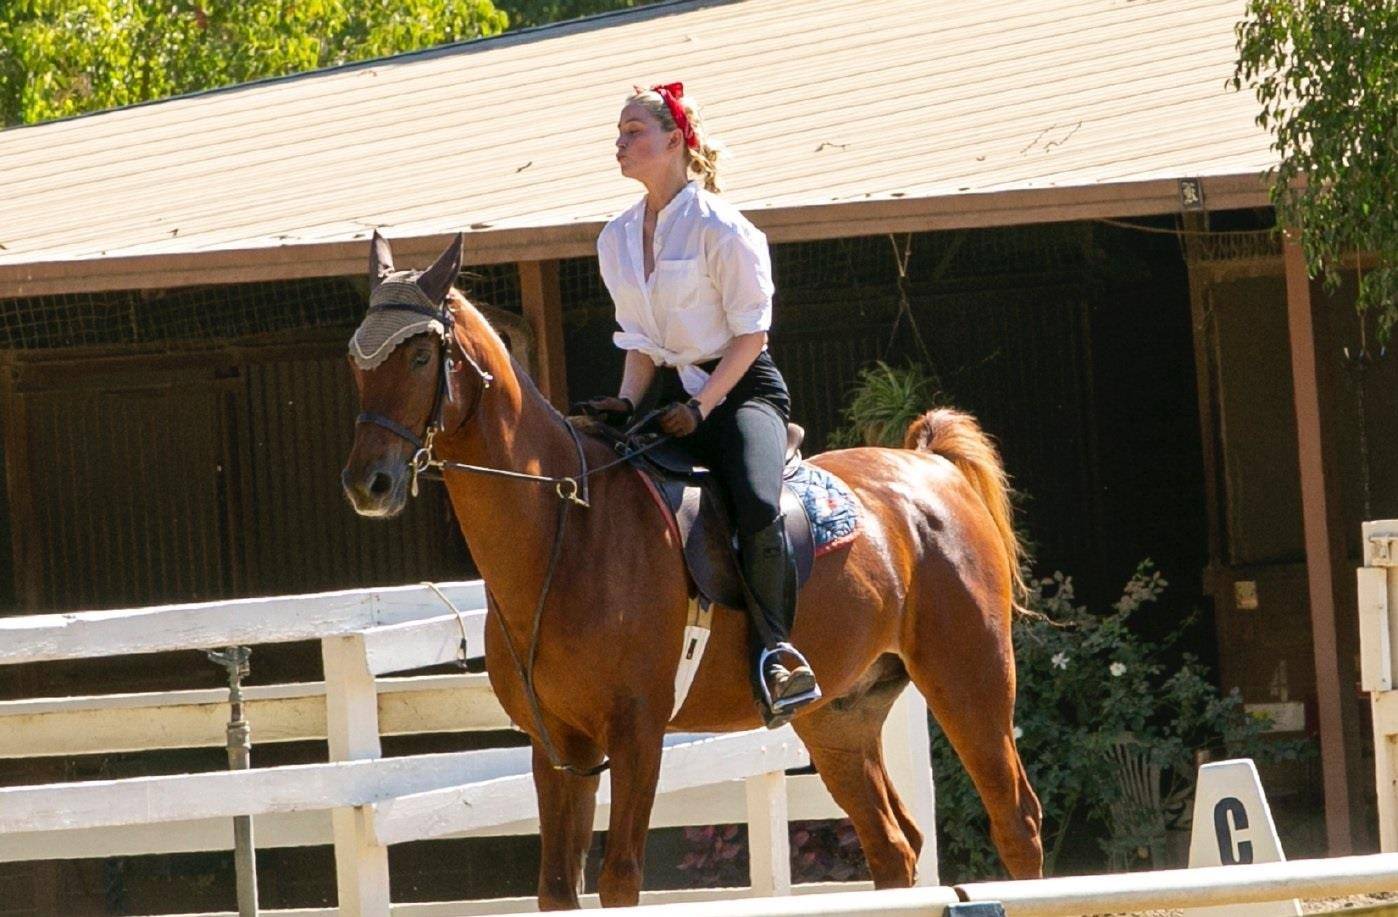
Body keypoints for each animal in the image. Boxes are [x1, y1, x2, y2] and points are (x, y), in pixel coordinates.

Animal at [341, 233, 1043, 909]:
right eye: (356, 362)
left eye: (420, 358)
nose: (366, 483)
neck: (565, 532)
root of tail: (931, 467)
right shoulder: (558, 748)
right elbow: (557, 889)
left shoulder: (637, 734)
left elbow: (620, 882)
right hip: (839, 718)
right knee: (893, 845)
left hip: (970, 681)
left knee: (1016, 821)